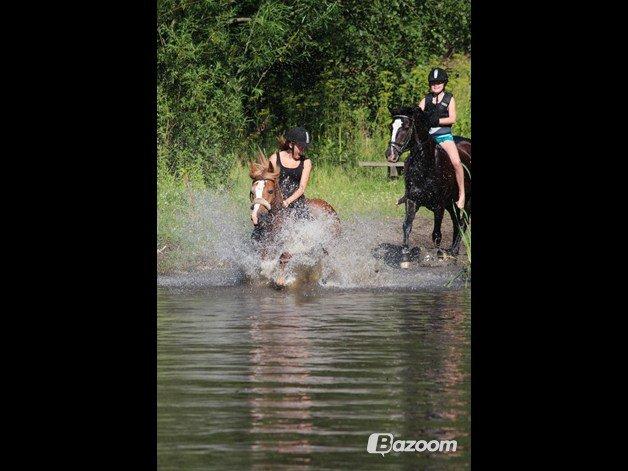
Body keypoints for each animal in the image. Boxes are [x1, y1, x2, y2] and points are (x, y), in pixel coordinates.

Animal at [248, 155, 340, 288]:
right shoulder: (263, 246)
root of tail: (329, 207)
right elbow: (264, 263)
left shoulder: (296, 245)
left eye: (270, 191)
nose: (256, 216)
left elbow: (284, 257)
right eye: (252, 192)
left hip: (328, 246)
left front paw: (281, 280)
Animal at [382, 107, 472, 270]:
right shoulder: (412, 200)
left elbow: (436, 234)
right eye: (391, 127)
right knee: (456, 222)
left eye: (406, 127)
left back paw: (453, 251)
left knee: (463, 223)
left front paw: (438, 257)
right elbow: (407, 226)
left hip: (466, 201)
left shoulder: (438, 206)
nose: (390, 155)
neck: (426, 166)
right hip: (451, 204)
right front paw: (405, 257)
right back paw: (452, 251)